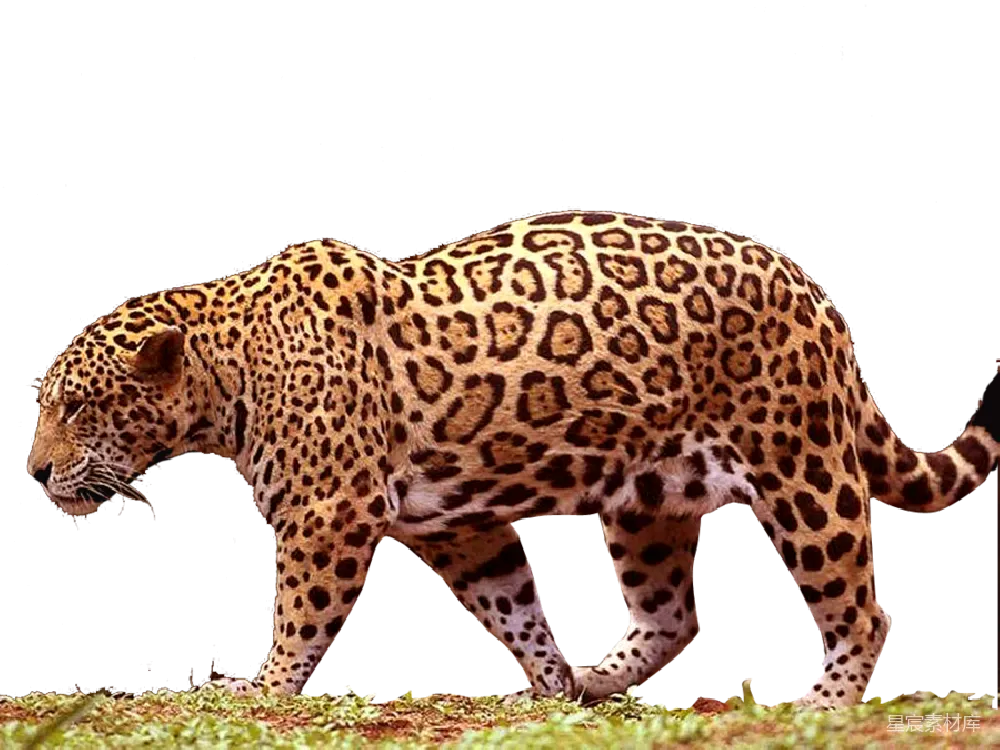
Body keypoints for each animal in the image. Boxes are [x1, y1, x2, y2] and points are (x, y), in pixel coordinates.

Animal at [27, 210, 999, 709]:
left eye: (74, 406)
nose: (33, 474)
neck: (227, 371)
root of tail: (816, 292)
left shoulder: (328, 513)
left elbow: (302, 612)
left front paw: (262, 691)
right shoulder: (458, 527)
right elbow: (513, 605)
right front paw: (547, 682)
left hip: (802, 464)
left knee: (862, 604)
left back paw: (823, 705)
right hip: (649, 497)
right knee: (673, 613)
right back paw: (601, 678)